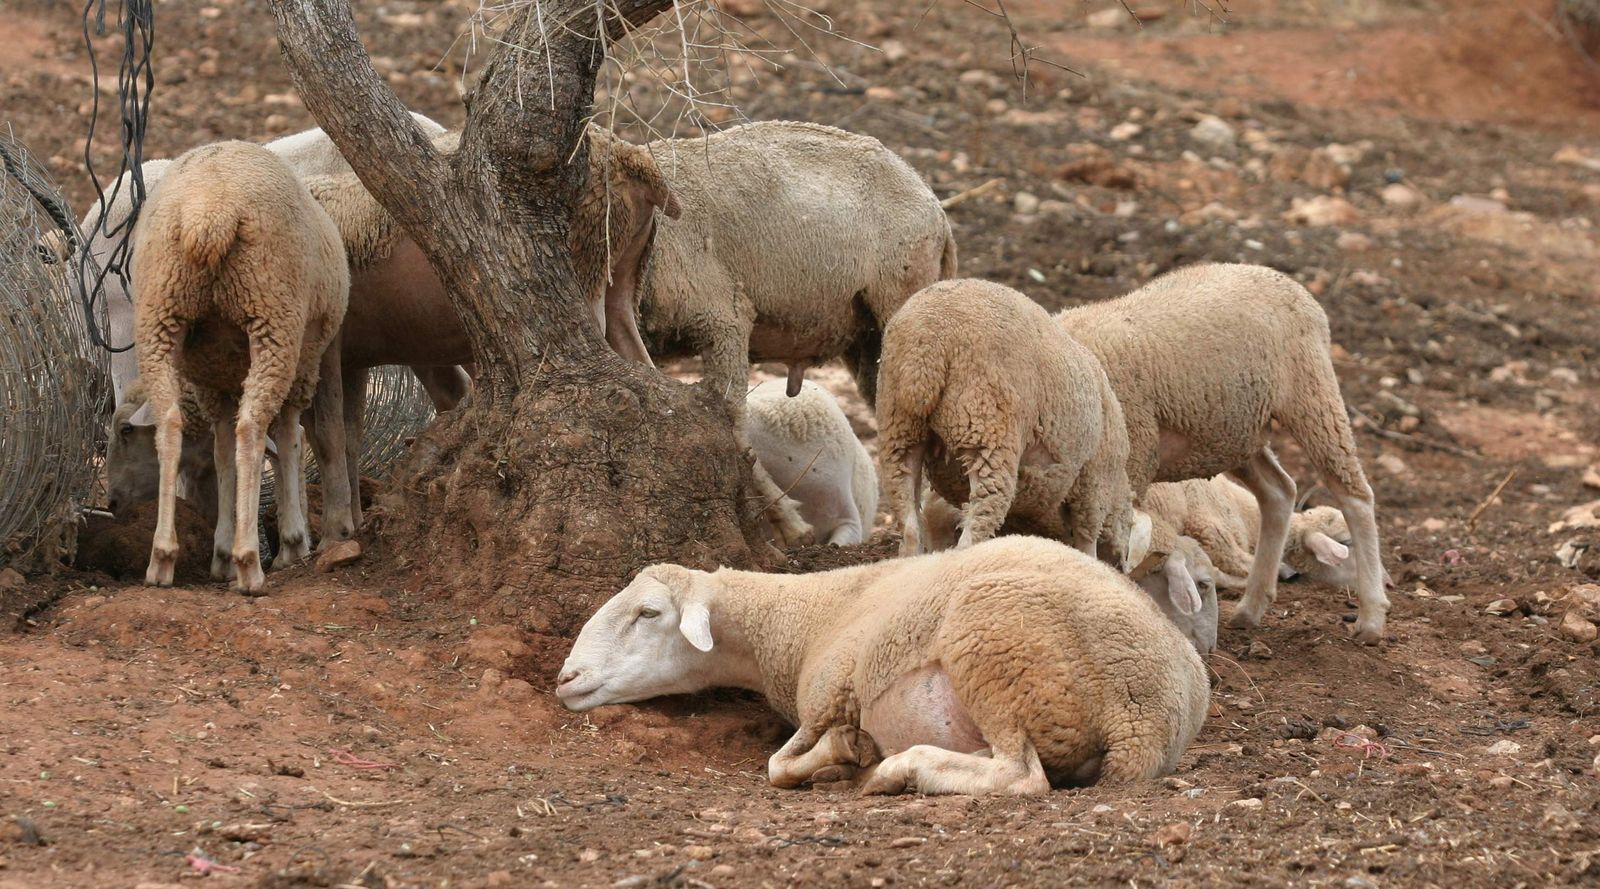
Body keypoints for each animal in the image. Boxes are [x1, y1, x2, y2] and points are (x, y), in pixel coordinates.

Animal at [131, 140, 349, 593]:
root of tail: (209, 214)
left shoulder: (214, 382)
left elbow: (222, 455)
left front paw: (221, 551)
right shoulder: (304, 365)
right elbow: (289, 440)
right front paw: (292, 541)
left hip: (159, 311)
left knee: (171, 424)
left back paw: (162, 558)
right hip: (273, 314)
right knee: (251, 428)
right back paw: (250, 563)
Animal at [556, 535, 1210, 795]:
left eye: (647, 613)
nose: (566, 678)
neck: (800, 621)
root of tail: (1149, 721)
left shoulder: (827, 697)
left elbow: (776, 766)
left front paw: (844, 754)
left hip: (997, 651)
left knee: (1021, 776)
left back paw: (898, 769)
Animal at [875, 279, 1148, 571]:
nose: (1121, 564)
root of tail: (925, 344)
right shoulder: (1092, 481)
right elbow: (1087, 536)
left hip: (899, 427)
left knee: (909, 522)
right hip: (987, 426)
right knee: (979, 520)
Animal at [1056, 263, 1390, 643]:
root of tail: (1280, 278)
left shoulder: (1129, 466)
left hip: (1311, 395)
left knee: (1355, 496)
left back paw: (1371, 617)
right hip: (1236, 434)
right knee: (1279, 491)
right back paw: (1251, 607)